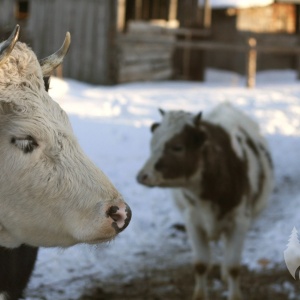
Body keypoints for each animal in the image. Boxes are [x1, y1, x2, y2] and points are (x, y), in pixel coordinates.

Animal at [137, 102, 274, 300]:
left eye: (177, 147)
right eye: (152, 143)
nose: (142, 176)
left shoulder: (240, 221)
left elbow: (234, 267)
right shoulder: (193, 221)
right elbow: (201, 264)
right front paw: (199, 295)